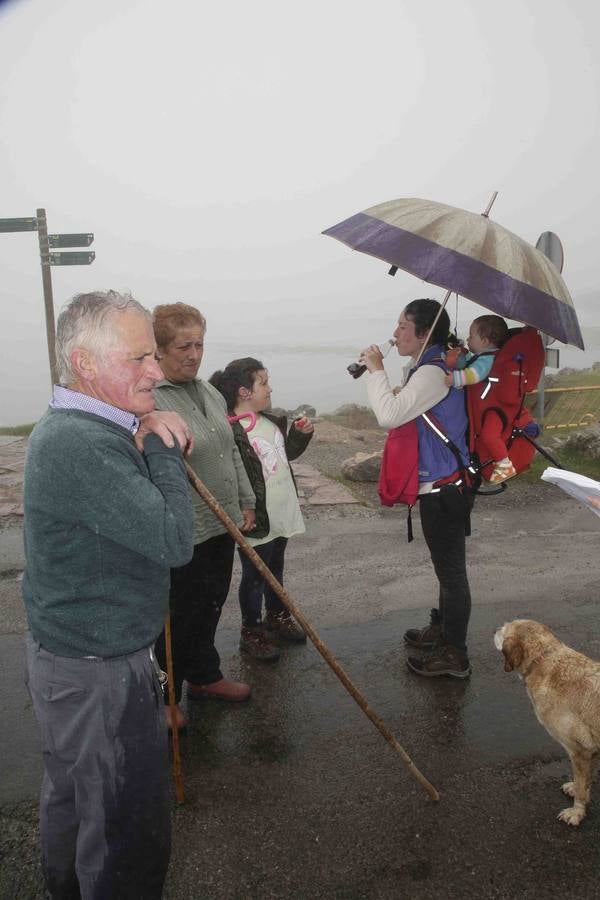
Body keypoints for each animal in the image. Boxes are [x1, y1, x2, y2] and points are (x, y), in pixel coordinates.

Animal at [492, 624, 600, 828]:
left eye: (503, 629)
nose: (494, 630)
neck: (543, 659)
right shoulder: (591, 751)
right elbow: (585, 782)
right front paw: (577, 789)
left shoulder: (580, 750)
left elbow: (582, 786)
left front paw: (577, 812)